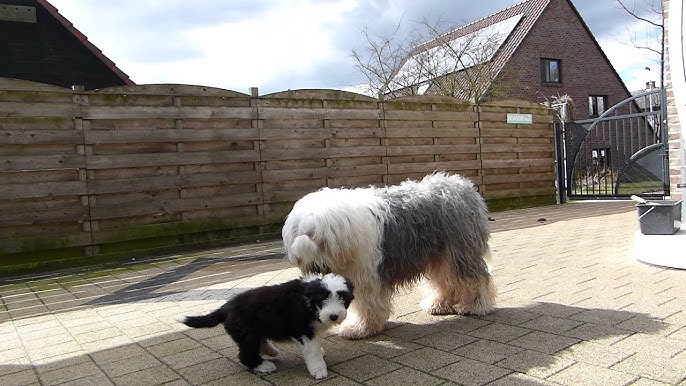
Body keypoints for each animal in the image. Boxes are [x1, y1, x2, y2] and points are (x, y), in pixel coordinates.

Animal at [177, 272, 354, 378]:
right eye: (322, 300)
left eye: (342, 299)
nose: (333, 316)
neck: (308, 301)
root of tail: (227, 306)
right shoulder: (302, 330)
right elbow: (312, 350)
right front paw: (319, 370)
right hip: (247, 333)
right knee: (245, 354)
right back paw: (263, 365)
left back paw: (270, 351)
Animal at [282, 172, 498, 338]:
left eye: (322, 242)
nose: (316, 268)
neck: (348, 235)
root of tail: (463, 186)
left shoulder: (367, 277)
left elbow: (366, 304)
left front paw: (358, 329)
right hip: (438, 255)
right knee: (444, 280)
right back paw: (438, 304)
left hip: (461, 252)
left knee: (474, 278)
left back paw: (476, 306)